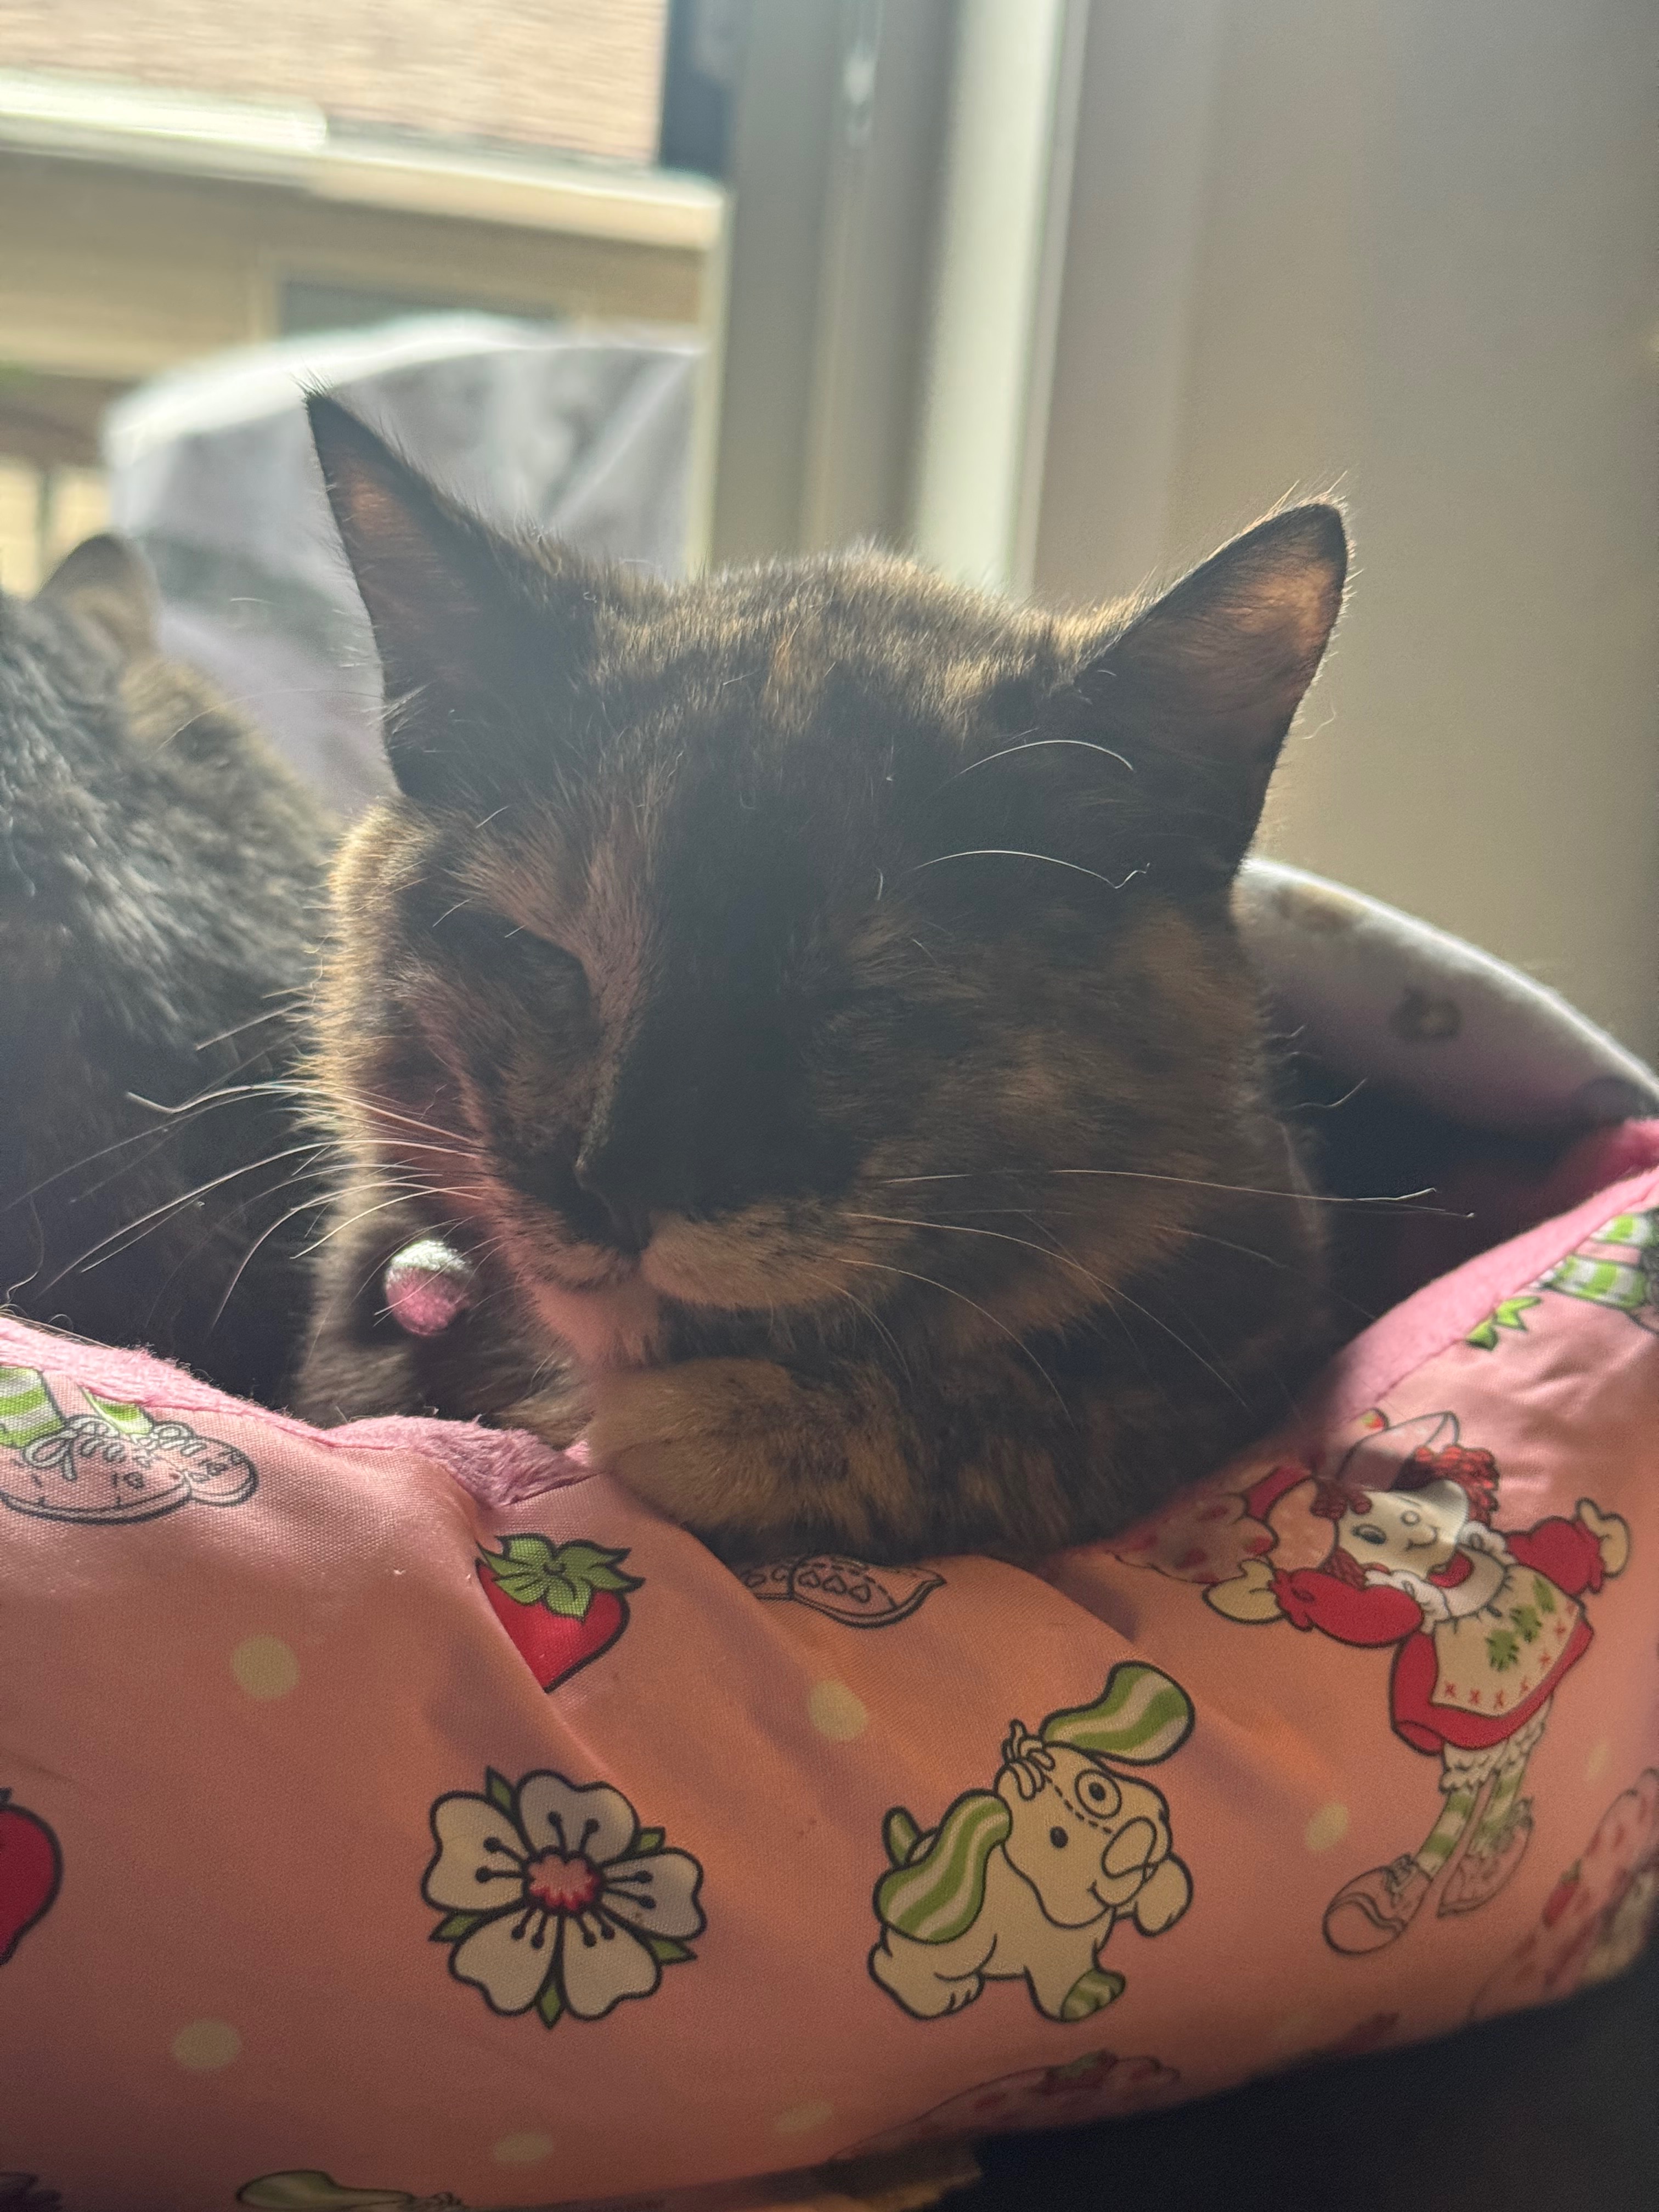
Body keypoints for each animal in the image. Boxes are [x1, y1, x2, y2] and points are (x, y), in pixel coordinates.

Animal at [296, 394, 1348, 1565]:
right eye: (542, 952)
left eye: (859, 994)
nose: (617, 1186)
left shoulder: (1256, 1347)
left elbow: (1045, 1412)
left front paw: (731, 1425)